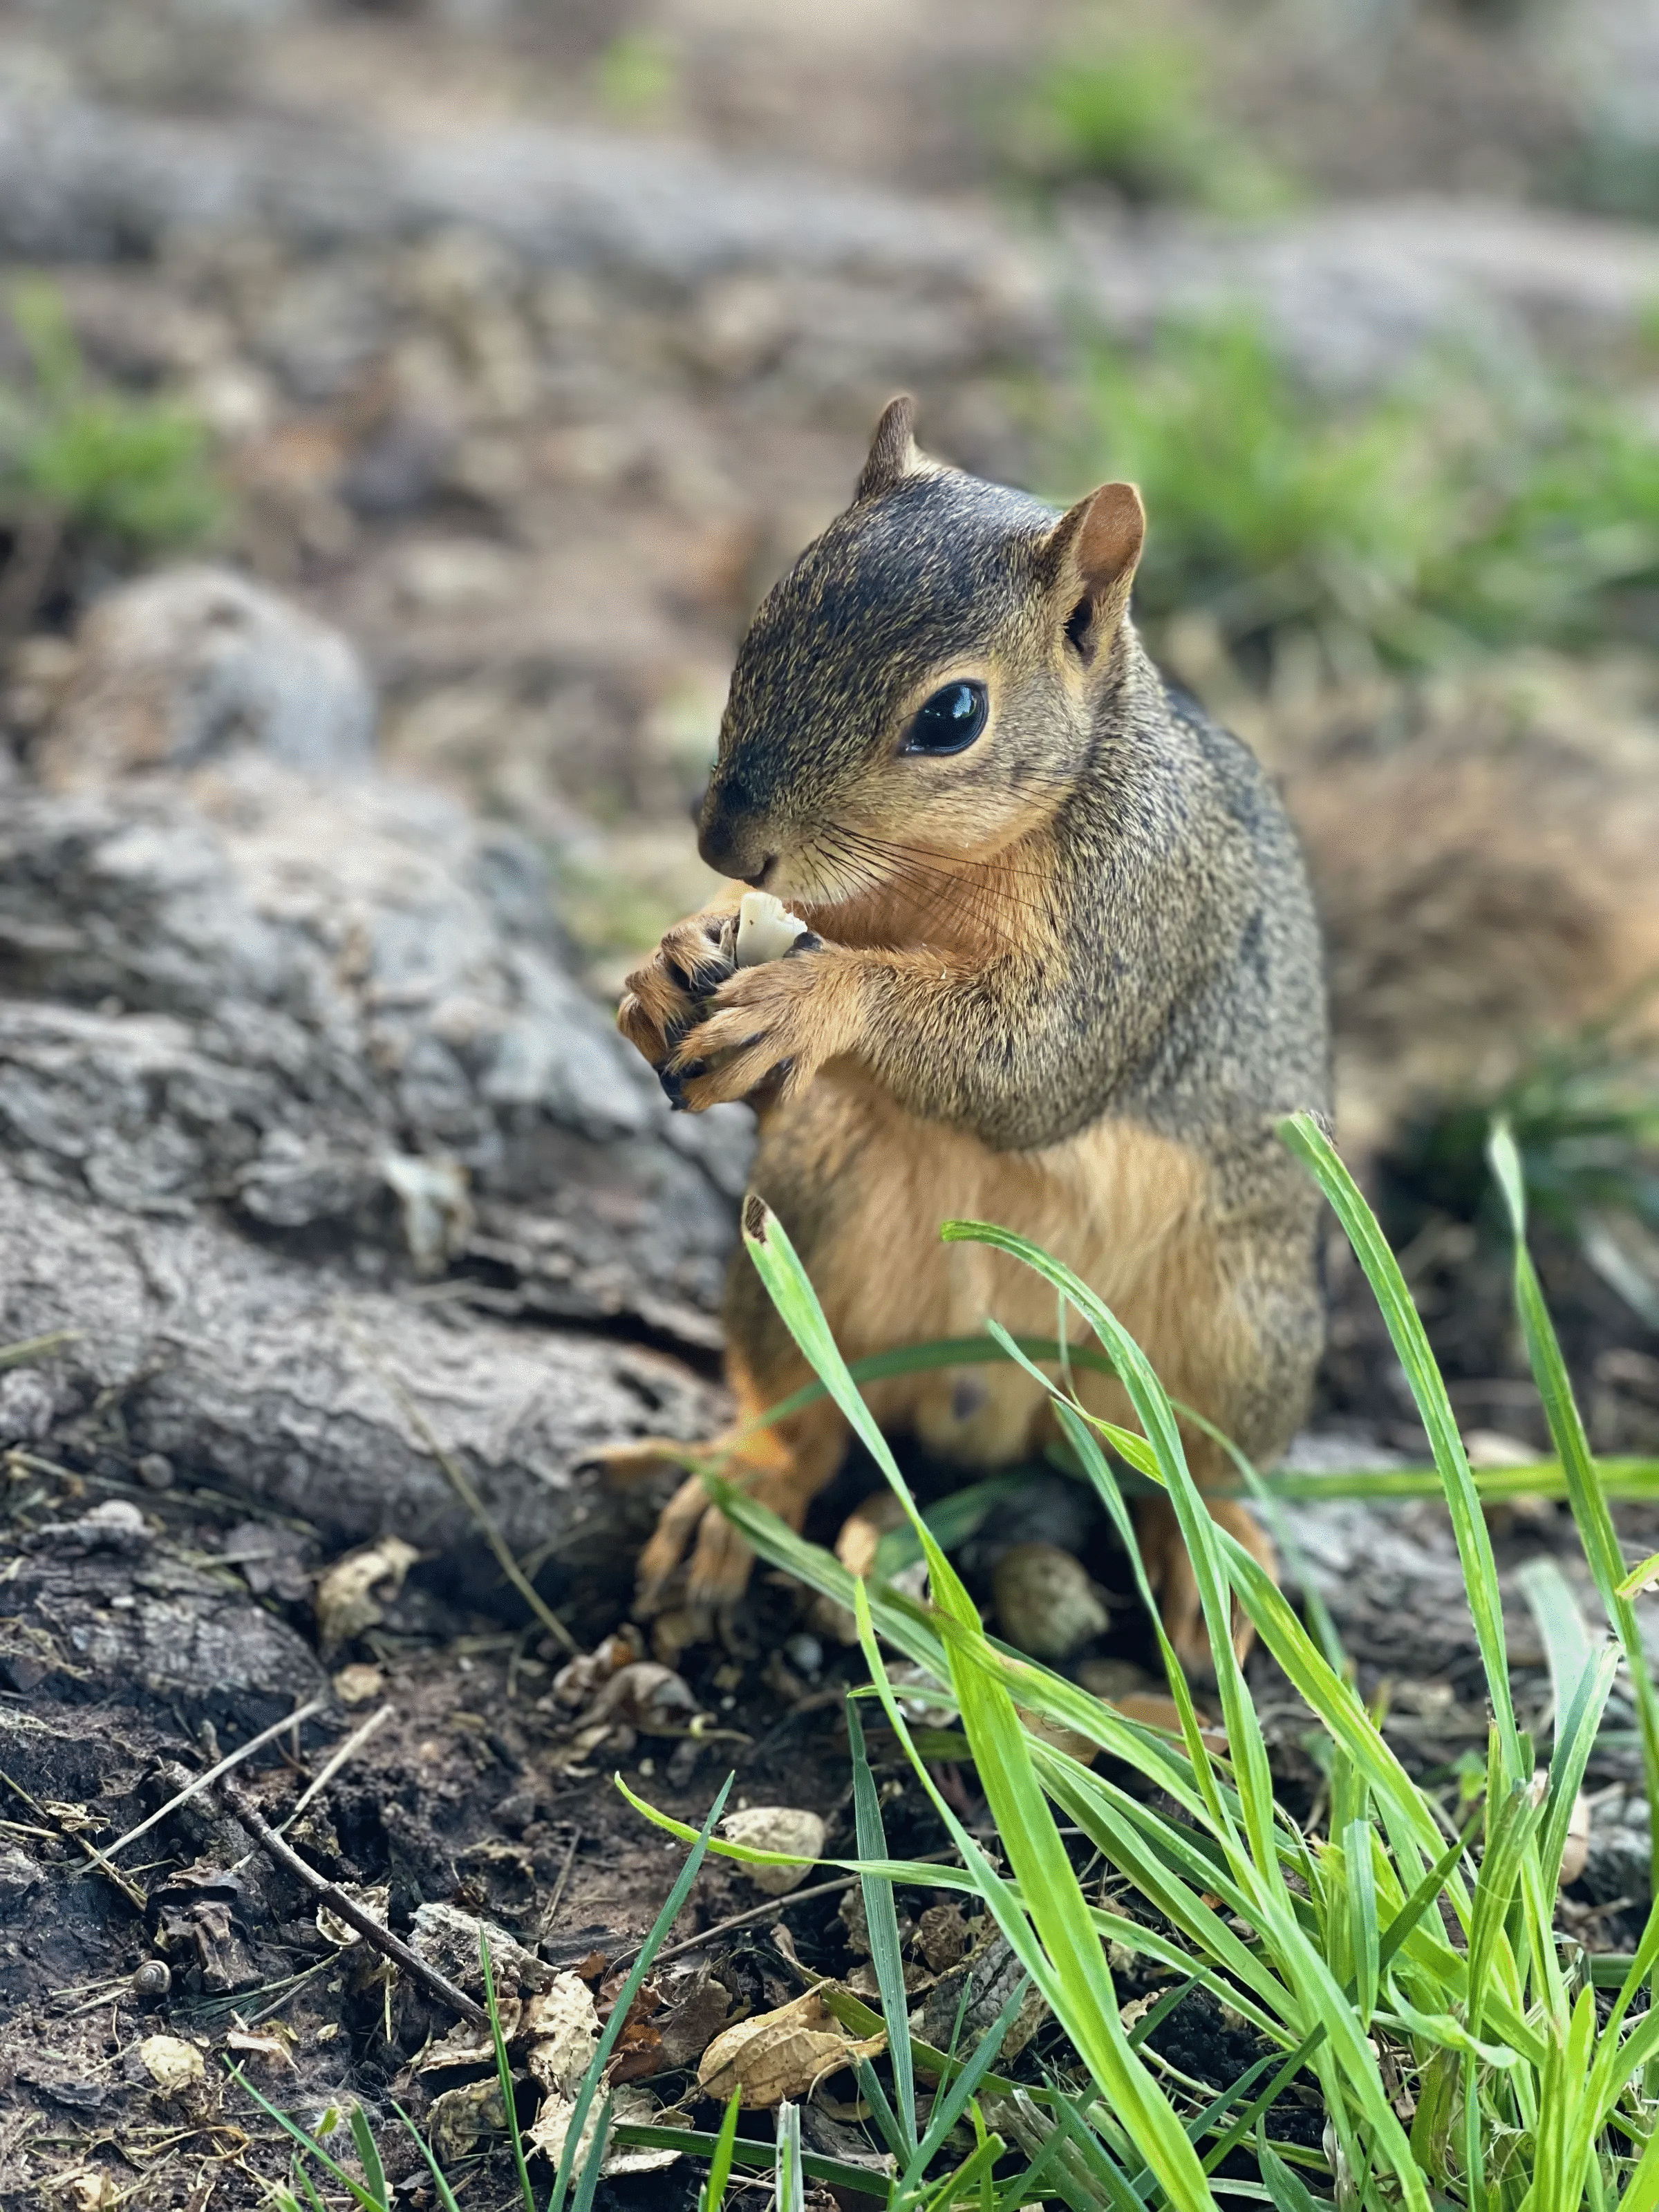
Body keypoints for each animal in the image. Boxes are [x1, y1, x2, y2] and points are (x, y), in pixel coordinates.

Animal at [607, 396, 1330, 1673]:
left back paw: (1216, 1560)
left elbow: (1035, 1068)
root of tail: (998, 1397)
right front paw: (667, 967)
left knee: (1194, 1471)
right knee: (807, 1410)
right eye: (763, 625)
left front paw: (813, 1001)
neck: (932, 876)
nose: (727, 845)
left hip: (1239, 1330)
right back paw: (737, 1497)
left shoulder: (1141, 916)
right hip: (813, 1220)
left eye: (953, 716)